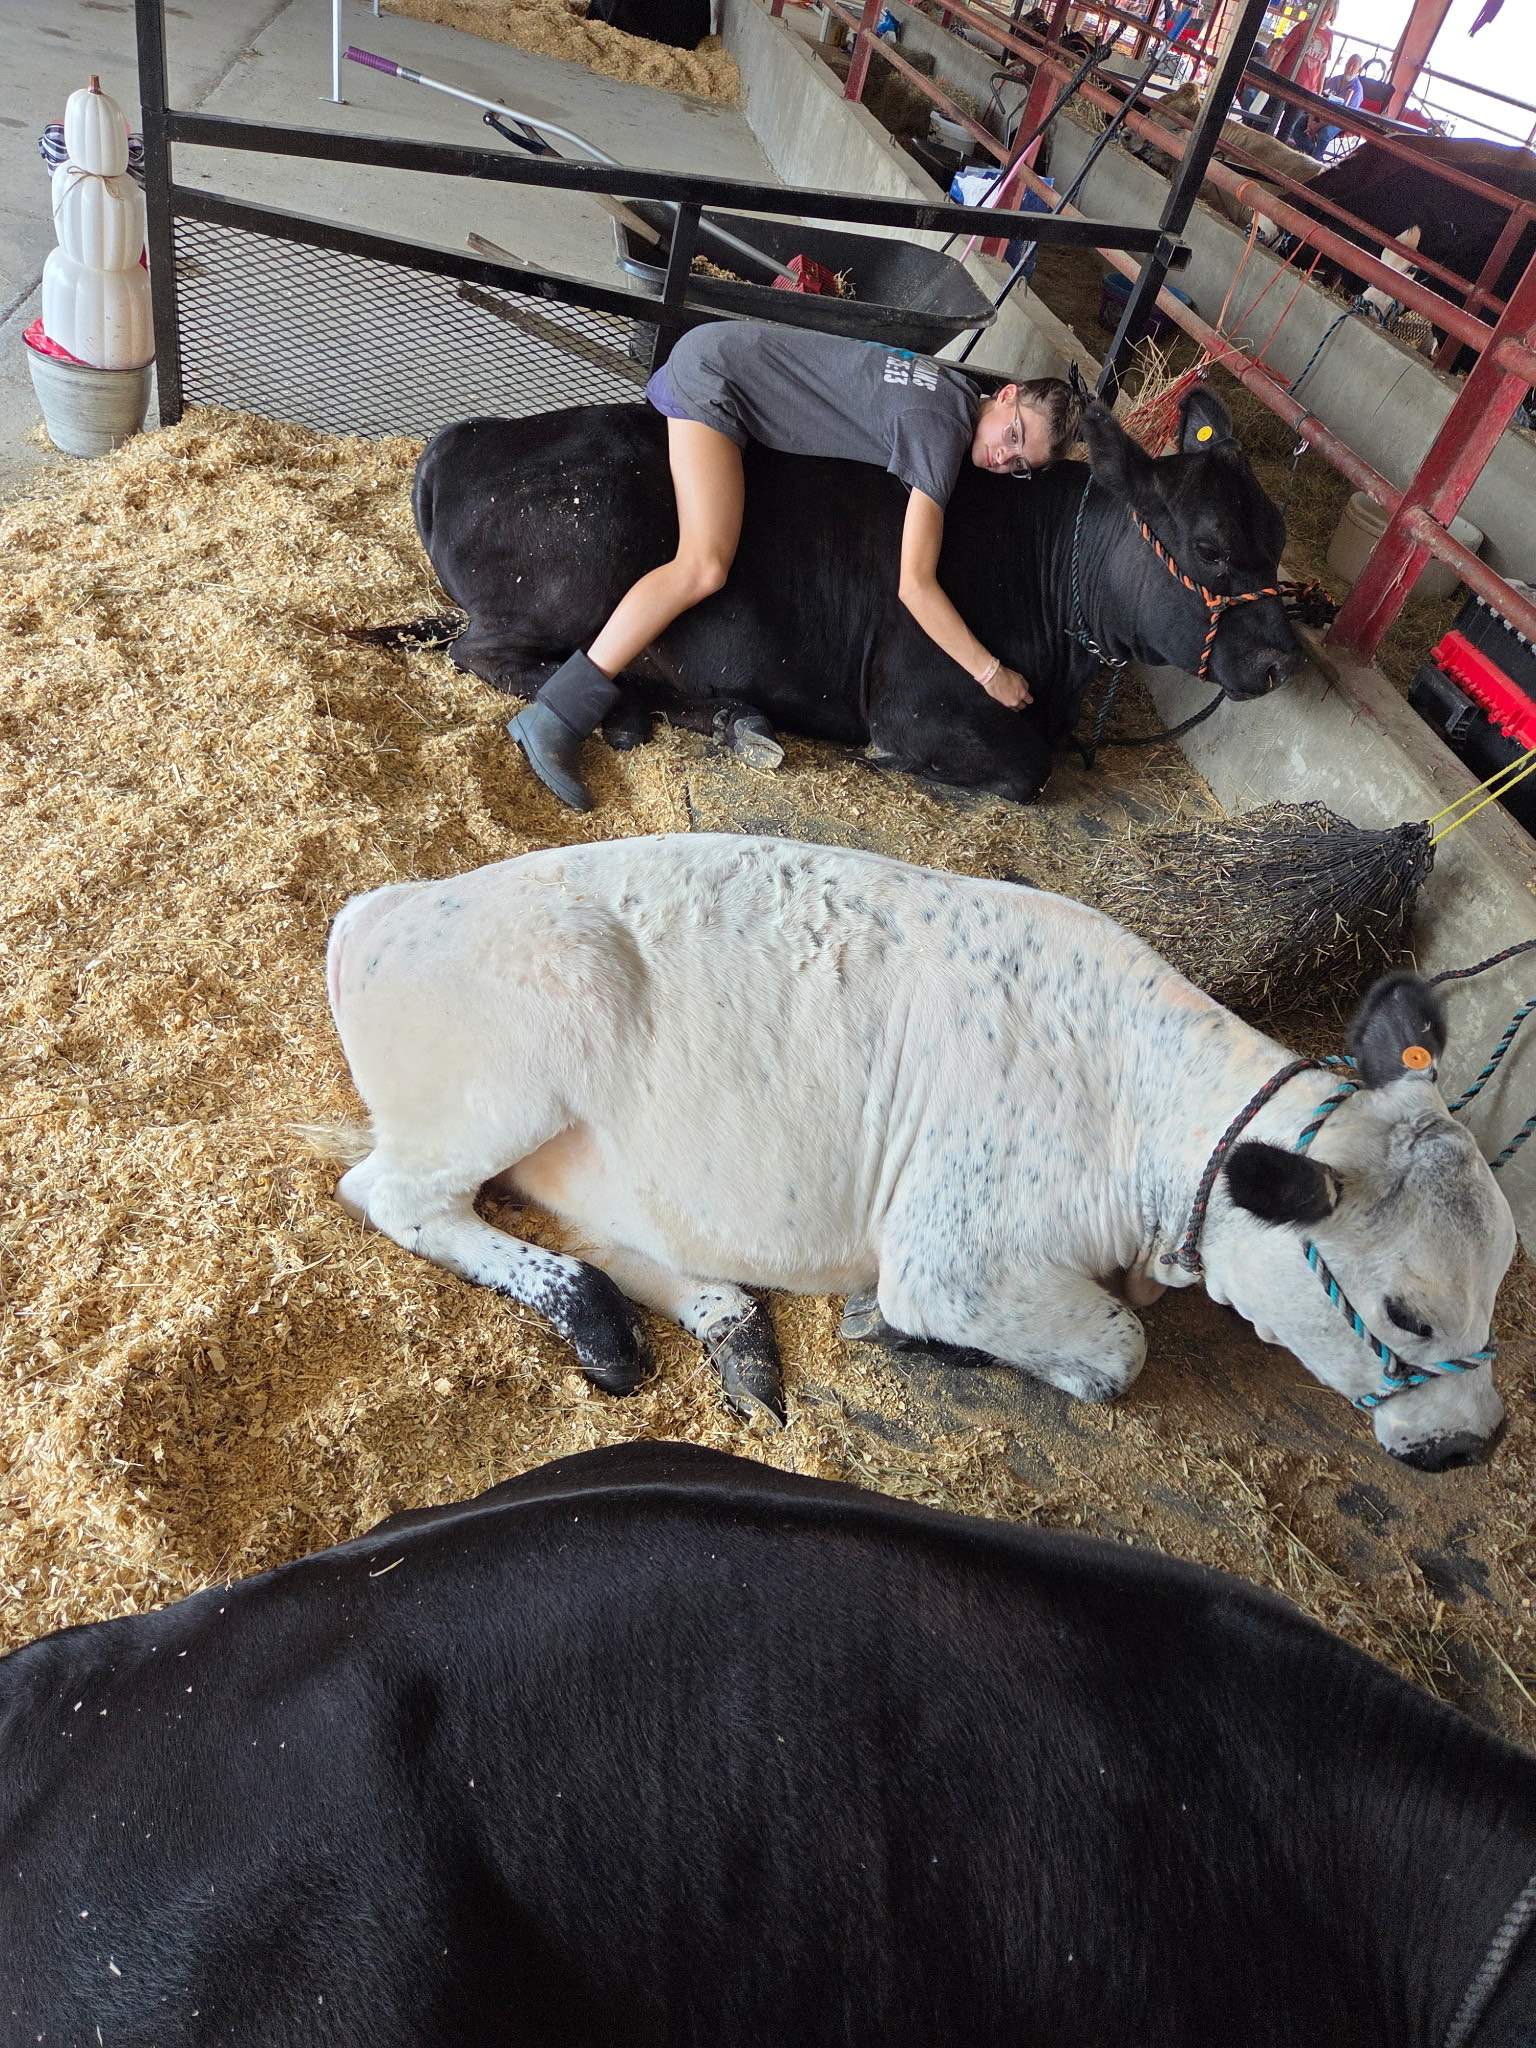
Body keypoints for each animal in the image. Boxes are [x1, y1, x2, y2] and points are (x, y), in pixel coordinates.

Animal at [325, 833, 1514, 1469]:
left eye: (1501, 1277)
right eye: (1408, 1311)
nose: (1479, 1440)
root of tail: (386, 904)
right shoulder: (957, 1259)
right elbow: (1118, 1352)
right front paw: (912, 1332)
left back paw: (731, 1329)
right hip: (514, 1062)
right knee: (395, 1196)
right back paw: (603, 1322)